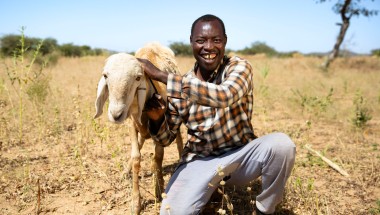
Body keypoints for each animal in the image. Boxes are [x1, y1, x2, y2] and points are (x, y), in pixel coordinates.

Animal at [94, 42, 184, 215]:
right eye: (105, 76)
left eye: (137, 77)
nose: (116, 114)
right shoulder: (132, 124)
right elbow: (136, 157)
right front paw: (136, 203)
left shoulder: (161, 125)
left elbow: (158, 157)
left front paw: (159, 189)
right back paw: (125, 172)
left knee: (179, 141)